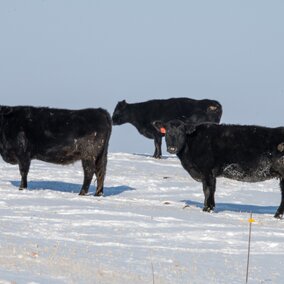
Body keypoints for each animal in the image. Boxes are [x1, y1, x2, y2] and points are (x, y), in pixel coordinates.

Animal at [154, 119, 284, 217]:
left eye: (182, 132)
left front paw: (207, 209)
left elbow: (208, 190)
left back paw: (277, 215)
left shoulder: (207, 171)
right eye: (167, 132)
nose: (172, 148)